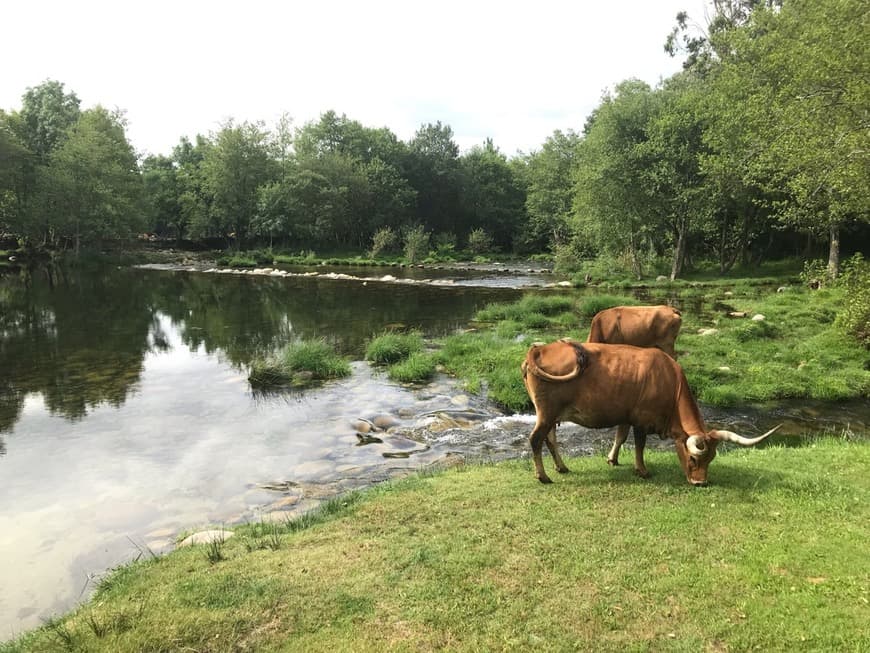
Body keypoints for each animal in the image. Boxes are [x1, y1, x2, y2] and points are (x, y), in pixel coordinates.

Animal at [520, 342, 780, 484]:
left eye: (712, 459)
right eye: (693, 459)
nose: (700, 483)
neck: (671, 382)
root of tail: (539, 349)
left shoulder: (625, 415)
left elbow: (620, 437)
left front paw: (612, 459)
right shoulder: (641, 420)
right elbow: (639, 445)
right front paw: (642, 470)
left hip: (552, 415)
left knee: (550, 440)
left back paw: (561, 467)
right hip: (547, 413)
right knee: (536, 439)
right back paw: (543, 476)